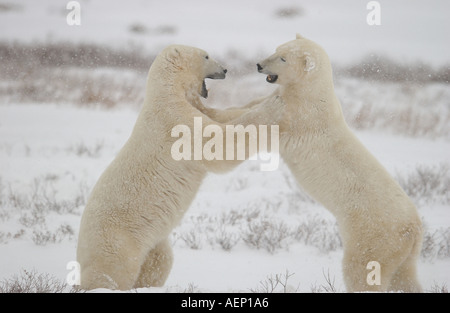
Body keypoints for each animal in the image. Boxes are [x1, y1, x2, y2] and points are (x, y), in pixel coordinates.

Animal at [75, 44, 284, 290]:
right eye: (206, 56)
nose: (225, 69)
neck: (167, 93)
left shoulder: (196, 108)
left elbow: (224, 115)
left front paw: (267, 97)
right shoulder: (177, 121)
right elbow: (217, 145)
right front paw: (273, 107)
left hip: (154, 241)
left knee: (160, 261)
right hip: (118, 240)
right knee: (112, 272)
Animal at [253, 35, 422, 292]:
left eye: (282, 58)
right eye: (276, 49)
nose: (259, 65)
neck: (313, 94)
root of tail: (413, 230)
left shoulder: (302, 118)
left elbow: (270, 125)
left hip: (373, 237)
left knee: (362, 270)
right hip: (405, 253)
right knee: (406, 278)